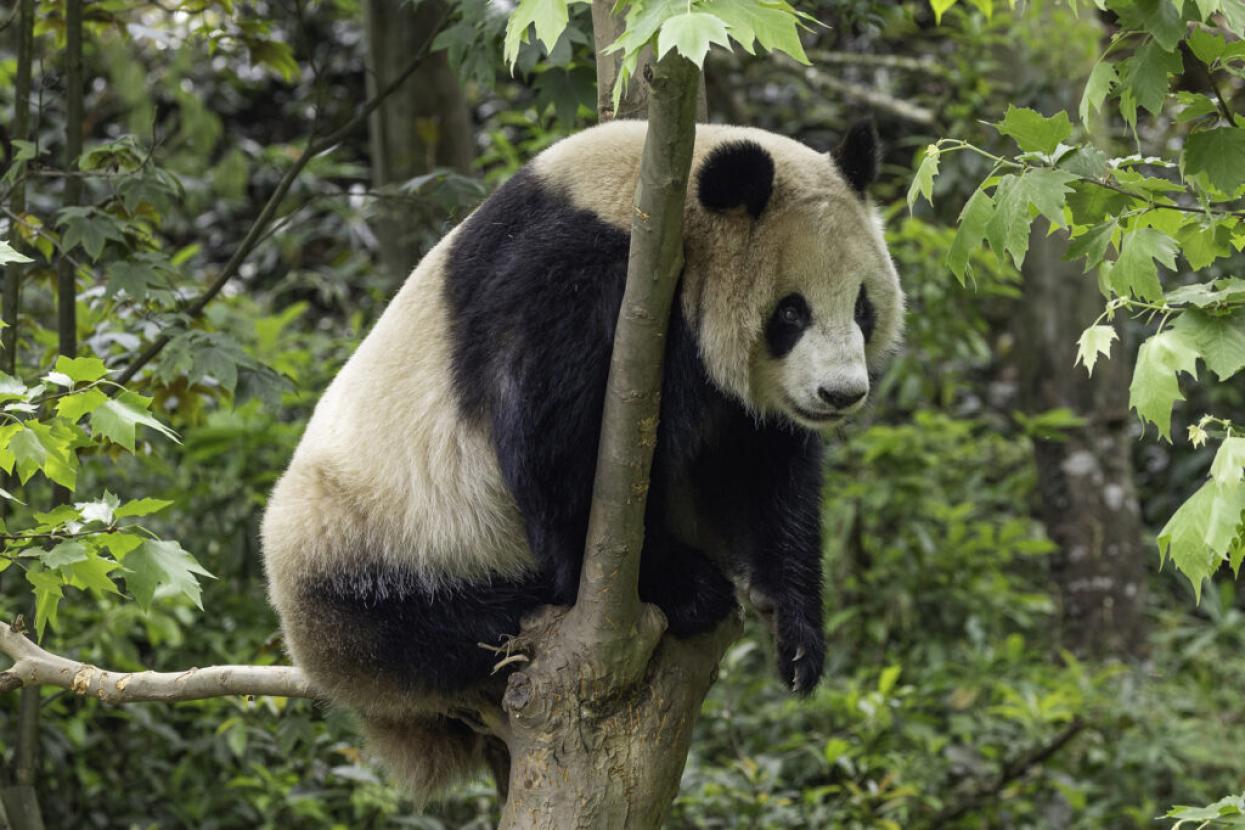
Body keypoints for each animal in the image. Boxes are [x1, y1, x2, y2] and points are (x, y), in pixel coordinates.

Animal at [261, 119, 904, 803]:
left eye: (862, 306)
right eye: (790, 312)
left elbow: (760, 467)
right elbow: (563, 452)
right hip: (372, 557)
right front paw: (680, 583)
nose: (841, 393)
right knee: (430, 626)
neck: (656, 207)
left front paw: (795, 631)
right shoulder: (572, 281)